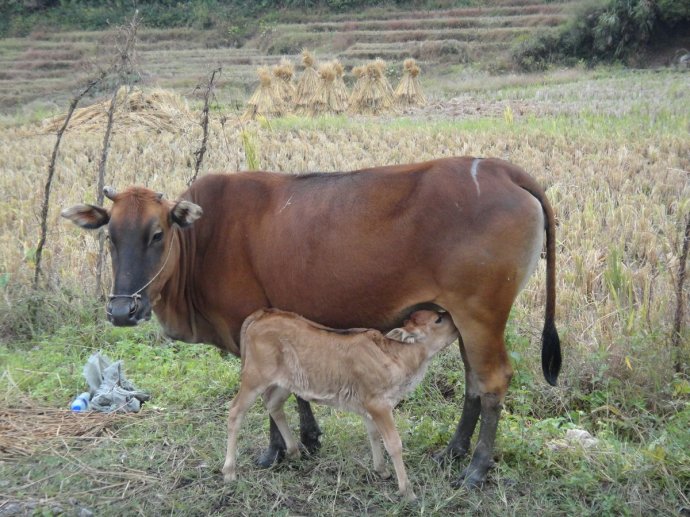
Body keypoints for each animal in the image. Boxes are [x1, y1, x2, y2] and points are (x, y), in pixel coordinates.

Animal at [220, 308, 456, 498]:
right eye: (437, 320)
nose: (455, 322)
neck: (395, 356)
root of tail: (262, 314)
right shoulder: (379, 405)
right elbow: (394, 443)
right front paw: (407, 491)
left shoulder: (367, 406)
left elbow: (373, 434)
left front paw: (381, 470)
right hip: (254, 379)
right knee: (235, 411)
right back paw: (229, 471)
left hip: (284, 383)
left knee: (273, 405)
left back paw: (294, 451)